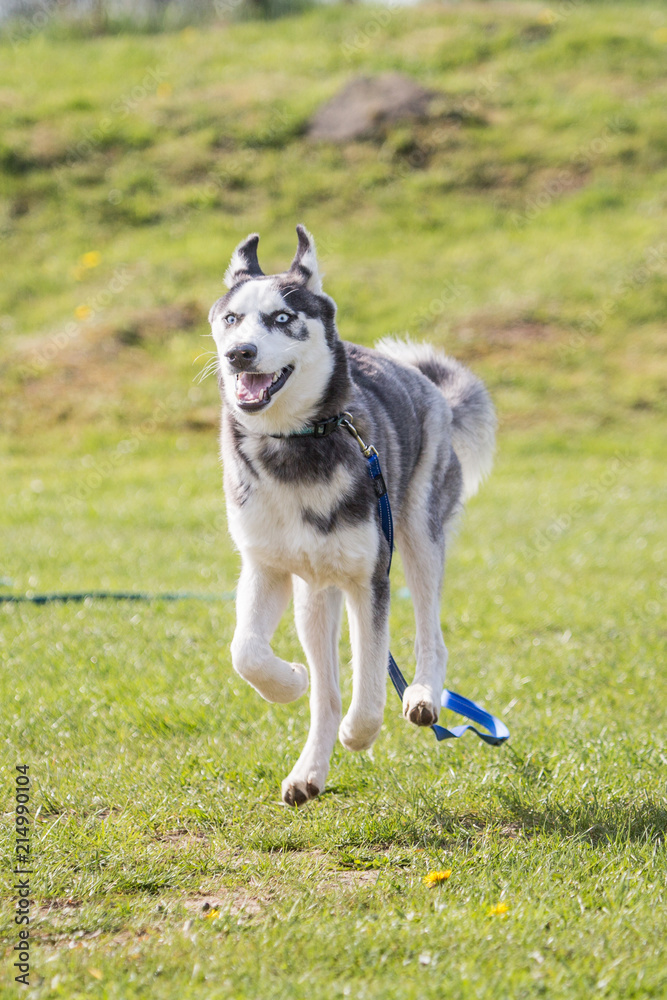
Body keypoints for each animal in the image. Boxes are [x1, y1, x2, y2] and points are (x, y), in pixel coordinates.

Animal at [210, 225, 496, 804]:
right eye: (231, 319)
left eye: (282, 318)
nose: (238, 354)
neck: (293, 445)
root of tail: (421, 380)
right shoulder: (265, 567)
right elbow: (247, 653)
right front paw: (290, 681)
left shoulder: (371, 578)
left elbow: (369, 680)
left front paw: (360, 733)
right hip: (313, 593)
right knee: (326, 686)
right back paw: (309, 771)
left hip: (417, 536)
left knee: (430, 635)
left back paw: (423, 694)